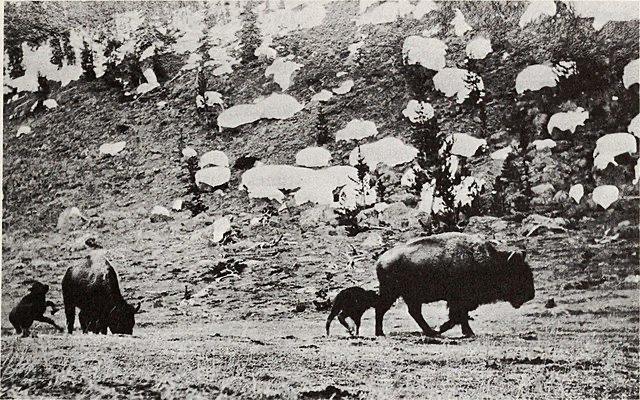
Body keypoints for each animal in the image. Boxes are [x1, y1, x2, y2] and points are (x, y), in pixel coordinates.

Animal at [375, 232, 535, 337]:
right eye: (517, 274)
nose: (530, 295)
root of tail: (380, 261)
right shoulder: (458, 300)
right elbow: (458, 316)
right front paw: (454, 330)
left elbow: (459, 316)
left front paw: (460, 331)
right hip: (393, 293)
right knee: (383, 309)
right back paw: (381, 333)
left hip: (408, 296)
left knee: (413, 312)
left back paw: (430, 332)